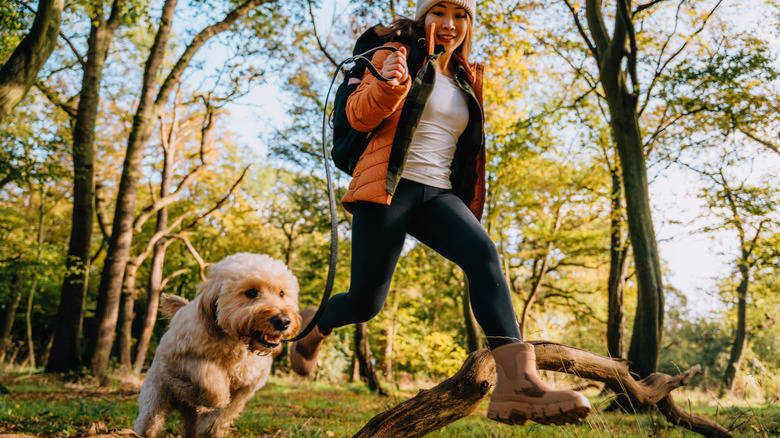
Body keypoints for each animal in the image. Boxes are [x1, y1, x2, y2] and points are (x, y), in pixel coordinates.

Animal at [134, 253, 298, 438]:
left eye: (282, 293)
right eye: (251, 292)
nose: (283, 321)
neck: (237, 343)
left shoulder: (248, 385)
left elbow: (229, 408)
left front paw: (210, 425)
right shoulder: (178, 358)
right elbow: (214, 383)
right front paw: (207, 402)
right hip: (153, 406)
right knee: (149, 423)